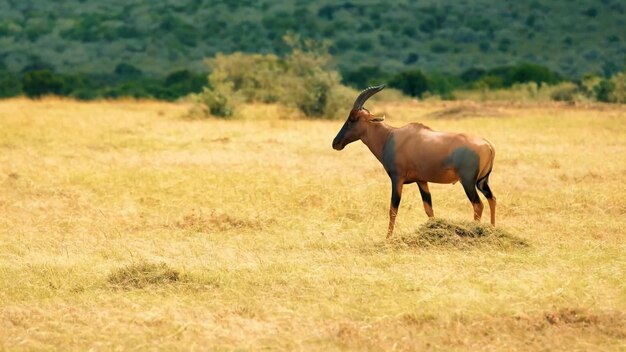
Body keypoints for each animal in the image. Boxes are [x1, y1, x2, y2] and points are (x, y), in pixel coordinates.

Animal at [330, 85, 494, 238]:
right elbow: (429, 209)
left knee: (478, 205)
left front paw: (388, 237)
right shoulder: (421, 180)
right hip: (482, 181)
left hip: (468, 182)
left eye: (353, 118)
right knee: (492, 199)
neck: (391, 137)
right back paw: (493, 229)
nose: (336, 143)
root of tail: (488, 145)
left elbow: (393, 209)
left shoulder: (397, 179)